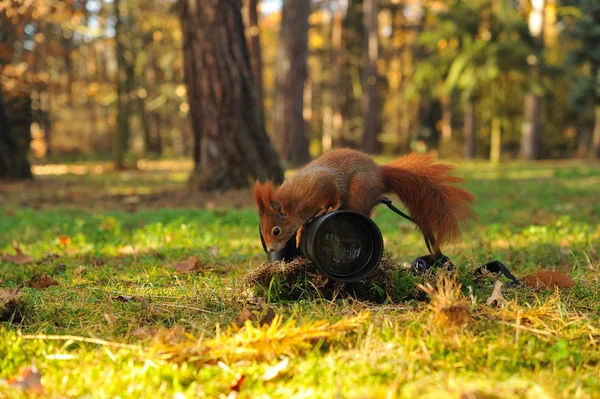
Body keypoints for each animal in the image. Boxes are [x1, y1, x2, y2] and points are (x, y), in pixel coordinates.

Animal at [255, 150, 476, 256]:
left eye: (275, 231)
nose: (271, 250)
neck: (294, 203)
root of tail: (380, 174)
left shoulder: (324, 183)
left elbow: (334, 195)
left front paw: (329, 209)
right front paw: (301, 233)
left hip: (359, 190)